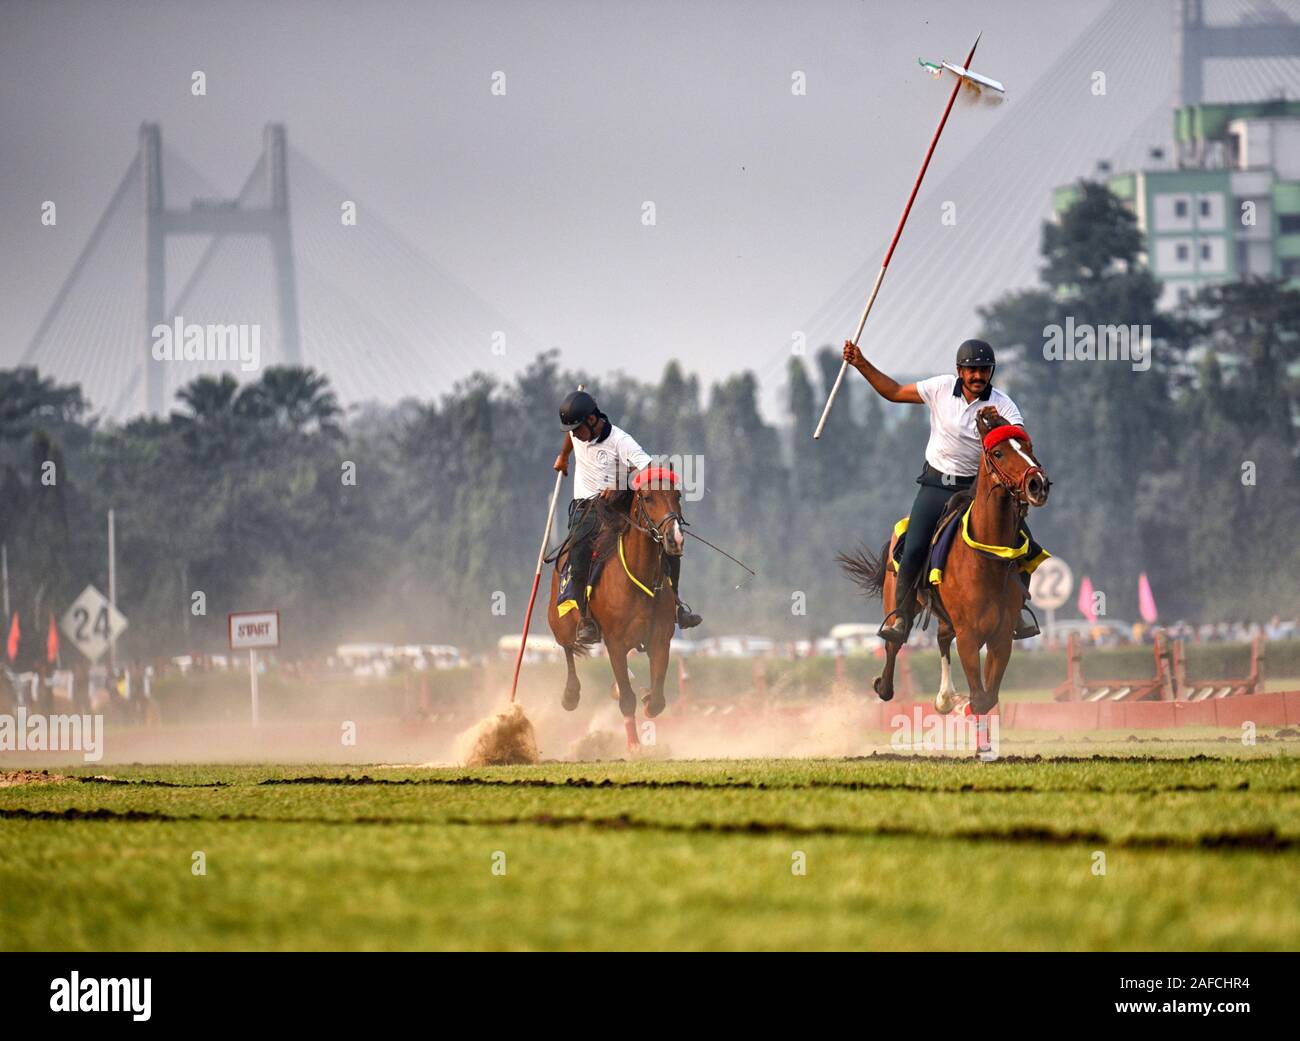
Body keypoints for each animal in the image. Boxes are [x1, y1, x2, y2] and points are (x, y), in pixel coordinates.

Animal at [546, 467, 686, 748]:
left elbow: (657, 698)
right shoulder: (615, 643)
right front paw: (634, 746)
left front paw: (648, 698)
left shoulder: (660, 639)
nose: (674, 538)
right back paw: (570, 694)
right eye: (648, 498)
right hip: (560, 621)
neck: (640, 576)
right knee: (567, 647)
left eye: (677, 495)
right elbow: (627, 699)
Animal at [842, 405, 1045, 753]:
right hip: (900, 599)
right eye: (999, 452)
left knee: (940, 637)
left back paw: (945, 699)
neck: (987, 556)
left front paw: (980, 738)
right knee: (895, 641)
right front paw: (974, 726)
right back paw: (886, 685)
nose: (1037, 484)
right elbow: (980, 693)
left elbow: (989, 695)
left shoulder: (1001, 635)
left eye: (1028, 447)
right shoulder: (969, 635)